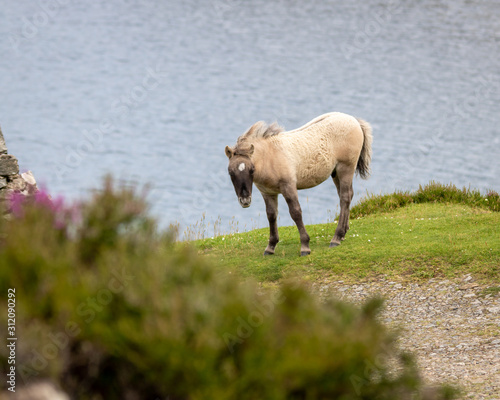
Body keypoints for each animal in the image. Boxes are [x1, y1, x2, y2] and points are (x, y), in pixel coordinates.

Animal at [226, 112, 372, 256]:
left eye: (251, 169)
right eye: (230, 172)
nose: (245, 200)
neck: (270, 156)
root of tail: (354, 120)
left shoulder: (288, 186)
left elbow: (296, 212)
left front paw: (305, 246)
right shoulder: (267, 192)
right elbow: (271, 215)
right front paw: (270, 247)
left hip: (346, 168)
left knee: (345, 197)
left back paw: (336, 238)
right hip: (335, 172)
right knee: (346, 195)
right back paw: (343, 234)